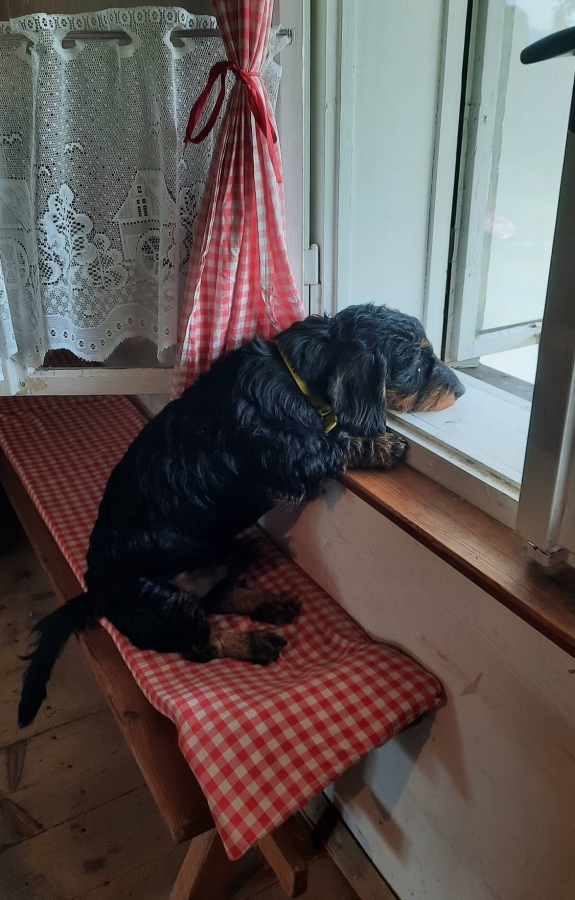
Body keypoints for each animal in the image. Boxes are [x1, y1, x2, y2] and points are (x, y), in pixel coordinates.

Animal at [18, 304, 464, 726]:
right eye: (418, 363)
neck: (293, 378)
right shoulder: (293, 462)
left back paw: (269, 602)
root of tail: (94, 591)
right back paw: (254, 642)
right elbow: (332, 444)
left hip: (226, 551)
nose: (461, 388)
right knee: (199, 643)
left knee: (218, 595)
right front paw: (383, 445)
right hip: (161, 603)